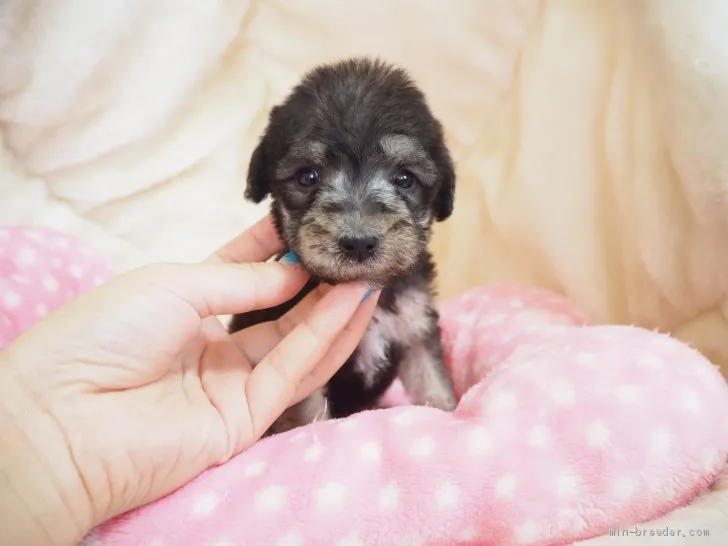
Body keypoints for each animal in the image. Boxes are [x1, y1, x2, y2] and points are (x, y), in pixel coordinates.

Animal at [228, 56, 458, 434]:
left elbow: (432, 381)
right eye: (307, 177)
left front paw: (453, 413)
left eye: (404, 178)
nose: (359, 243)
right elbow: (307, 415)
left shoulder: (415, 328)